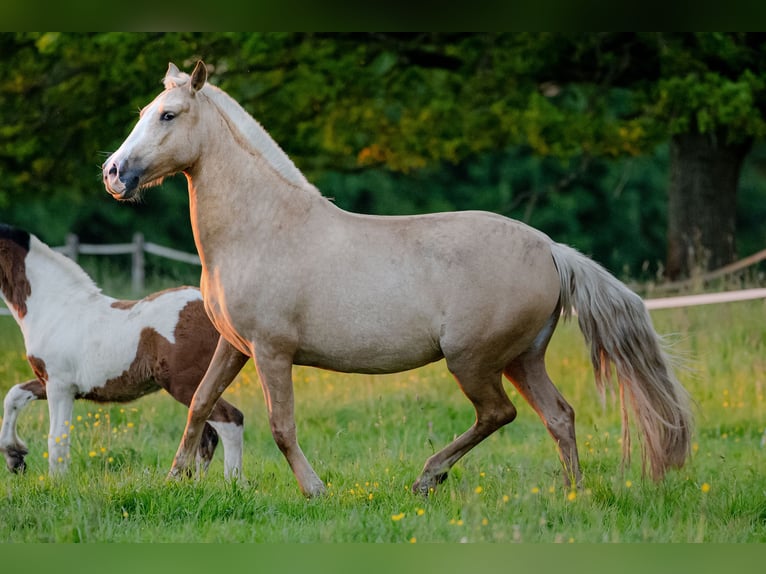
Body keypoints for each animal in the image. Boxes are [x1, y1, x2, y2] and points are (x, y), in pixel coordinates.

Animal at [0, 225, 243, 482]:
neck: (55, 307)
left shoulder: (60, 386)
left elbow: (57, 438)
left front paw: (57, 483)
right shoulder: (51, 382)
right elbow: (14, 395)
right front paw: (15, 458)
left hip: (185, 383)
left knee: (229, 420)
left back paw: (234, 483)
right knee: (207, 433)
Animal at [102, 60, 696, 498]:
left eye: (169, 115)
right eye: (143, 112)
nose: (114, 173)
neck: (262, 226)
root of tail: (551, 249)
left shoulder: (272, 352)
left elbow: (281, 425)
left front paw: (315, 490)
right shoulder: (235, 346)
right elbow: (200, 404)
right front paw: (175, 478)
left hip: (474, 360)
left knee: (498, 413)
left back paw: (428, 477)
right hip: (523, 358)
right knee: (559, 416)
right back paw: (572, 495)